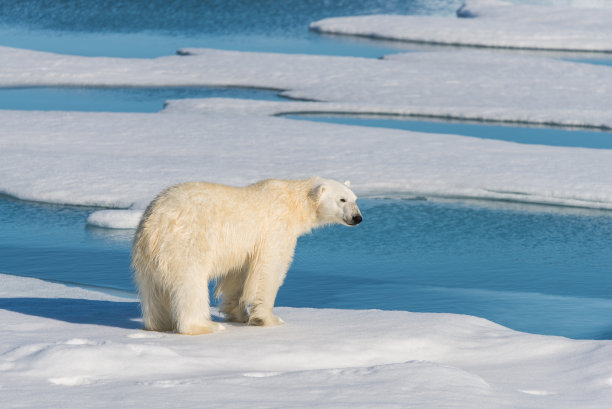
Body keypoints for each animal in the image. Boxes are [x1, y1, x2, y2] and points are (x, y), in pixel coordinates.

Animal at [131, 177, 360, 334]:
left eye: (355, 199)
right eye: (342, 199)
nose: (358, 217)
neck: (293, 202)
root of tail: (154, 225)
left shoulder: (245, 248)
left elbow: (238, 274)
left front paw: (238, 314)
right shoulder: (275, 229)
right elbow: (269, 270)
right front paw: (268, 319)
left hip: (147, 258)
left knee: (153, 292)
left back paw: (158, 325)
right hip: (185, 243)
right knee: (190, 285)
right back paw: (205, 325)